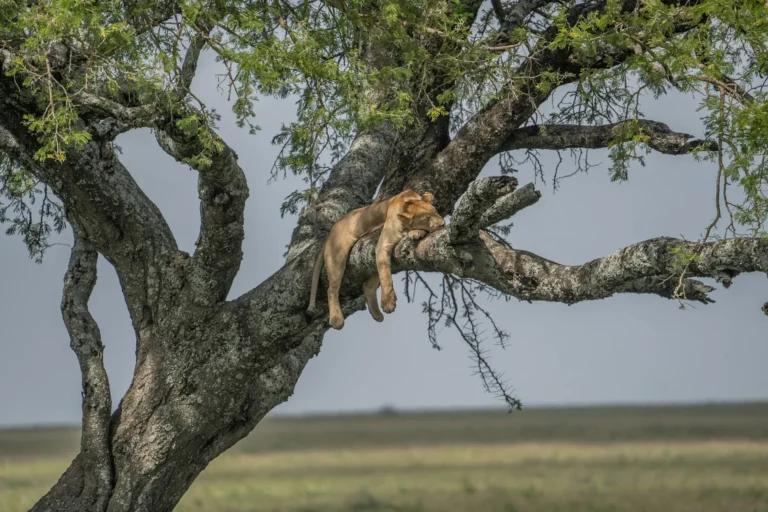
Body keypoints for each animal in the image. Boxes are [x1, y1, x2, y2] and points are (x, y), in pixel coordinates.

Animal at [305, 189, 445, 329]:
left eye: (436, 211)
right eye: (427, 218)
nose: (443, 224)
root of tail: (330, 232)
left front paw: (416, 232)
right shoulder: (382, 246)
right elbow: (385, 276)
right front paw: (388, 303)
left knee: (367, 286)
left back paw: (376, 314)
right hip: (337, 257)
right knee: (331, 290)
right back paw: (336, 319)